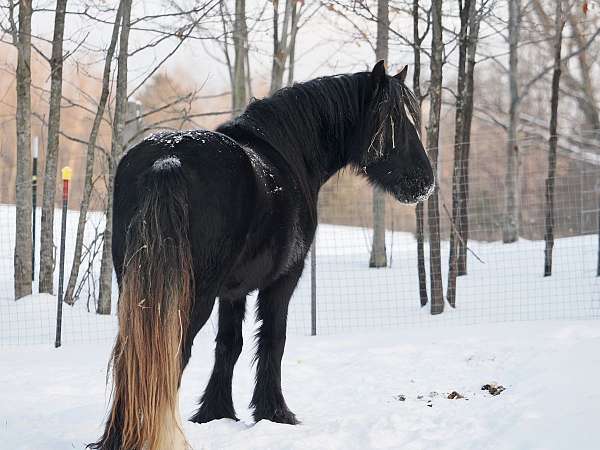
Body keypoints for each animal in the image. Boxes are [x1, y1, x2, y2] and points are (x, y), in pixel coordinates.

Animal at [90, 62, 432, 450]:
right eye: (394, 120)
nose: (425, 182)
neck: (287, 153)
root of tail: (168, 159)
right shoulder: (284, 280)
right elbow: (272, 340)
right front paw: (275, 413)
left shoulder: (233, 291)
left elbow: (229, 345)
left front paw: (216, 412)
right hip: (191, 298)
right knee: (170, 356)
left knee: (129, 356)